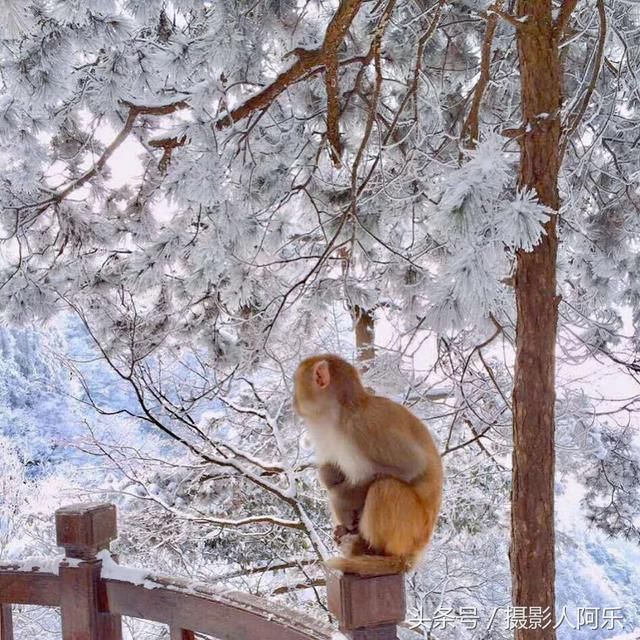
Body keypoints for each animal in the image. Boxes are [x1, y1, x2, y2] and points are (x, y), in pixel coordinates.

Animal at [292, 356, 442, 576]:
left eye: (296, 383)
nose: (293, 402)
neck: (341, 411)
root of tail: (416, 553)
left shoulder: (364, 426)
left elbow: (412, 467)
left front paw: (340, 500)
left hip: (411, 530)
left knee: (386, 487)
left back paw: (376, 553)